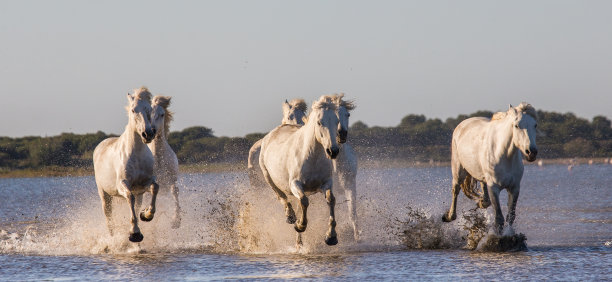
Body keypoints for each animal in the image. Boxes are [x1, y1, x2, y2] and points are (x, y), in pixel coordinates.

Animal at [93, 87, 160, 242]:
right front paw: (135, 233)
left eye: (149, 109)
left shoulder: (144, 184)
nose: (148, 134)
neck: (137, 154)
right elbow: (130, 197)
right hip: (104, 195)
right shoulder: (123, 184)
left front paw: (146, 214)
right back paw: (112, 238)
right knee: (109, 218)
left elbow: (155, 188)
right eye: (133, 110)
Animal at [148, 94, 182, 229]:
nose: (151, 131)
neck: (159, 159)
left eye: (162, 114)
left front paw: (176, 221)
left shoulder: (172, 179)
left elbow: (175, 192)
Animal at [260, 94, 342, 245]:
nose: (333, 151)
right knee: (282, 196)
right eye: (319, 122)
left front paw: (331, 236)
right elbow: (304, 201)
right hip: (268, 177)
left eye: (337, 121)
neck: (311, 156)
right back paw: (290, 216)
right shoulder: (295, 184)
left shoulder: (326, 183)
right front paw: (300, 225)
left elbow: (331, 199)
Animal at [442, 103, 536, 236]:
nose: (531, 152)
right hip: (458, 171)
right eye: (517, 125)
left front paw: (510, 234)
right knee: (455, 190)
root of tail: (462, 125)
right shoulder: (494, 188)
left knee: (483, 187)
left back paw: (482, 201)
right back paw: (449, 216)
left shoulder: (514, 188)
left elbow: (511, 216)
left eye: (535, 125)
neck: (504, 155)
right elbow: (499, 218)